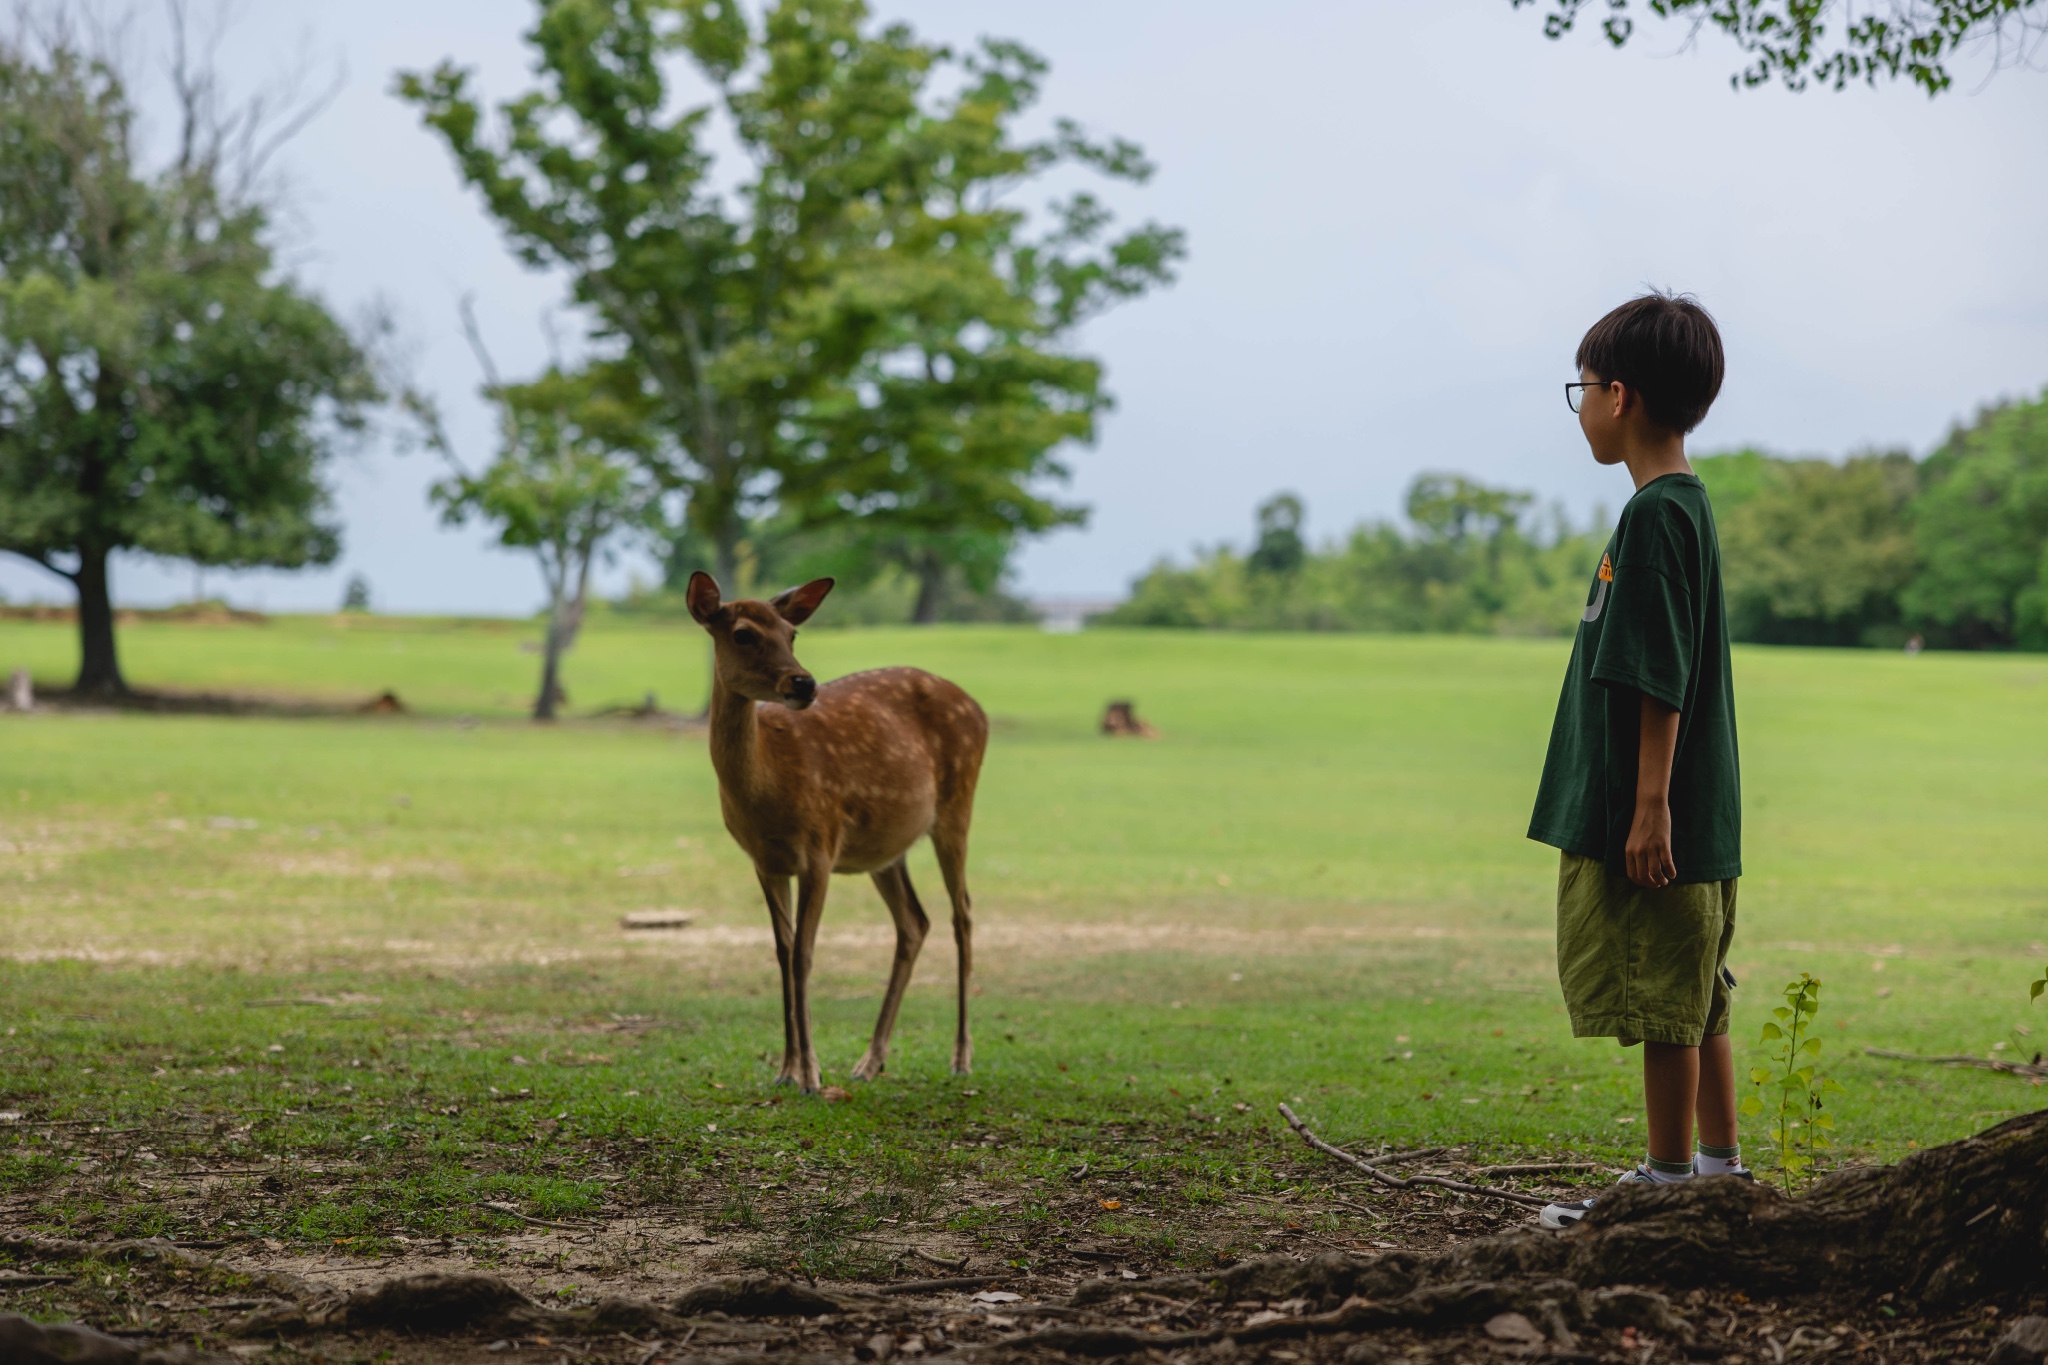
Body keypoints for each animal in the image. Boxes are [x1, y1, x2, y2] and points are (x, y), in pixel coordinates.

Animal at [688, 573, 991, 1096]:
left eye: (792, 634)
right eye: (743, 634)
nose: (803, 683)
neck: (765, 791)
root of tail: (981, 712)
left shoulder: (820, 846)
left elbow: (804, 955)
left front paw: (810, 1075)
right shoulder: (765, 861)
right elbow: (782, 952)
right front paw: (787, 1070)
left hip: (957, 808)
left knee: (963, 914)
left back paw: (960, 1057)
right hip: (886, 849)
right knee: (915, 922)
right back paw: (870, 1061)